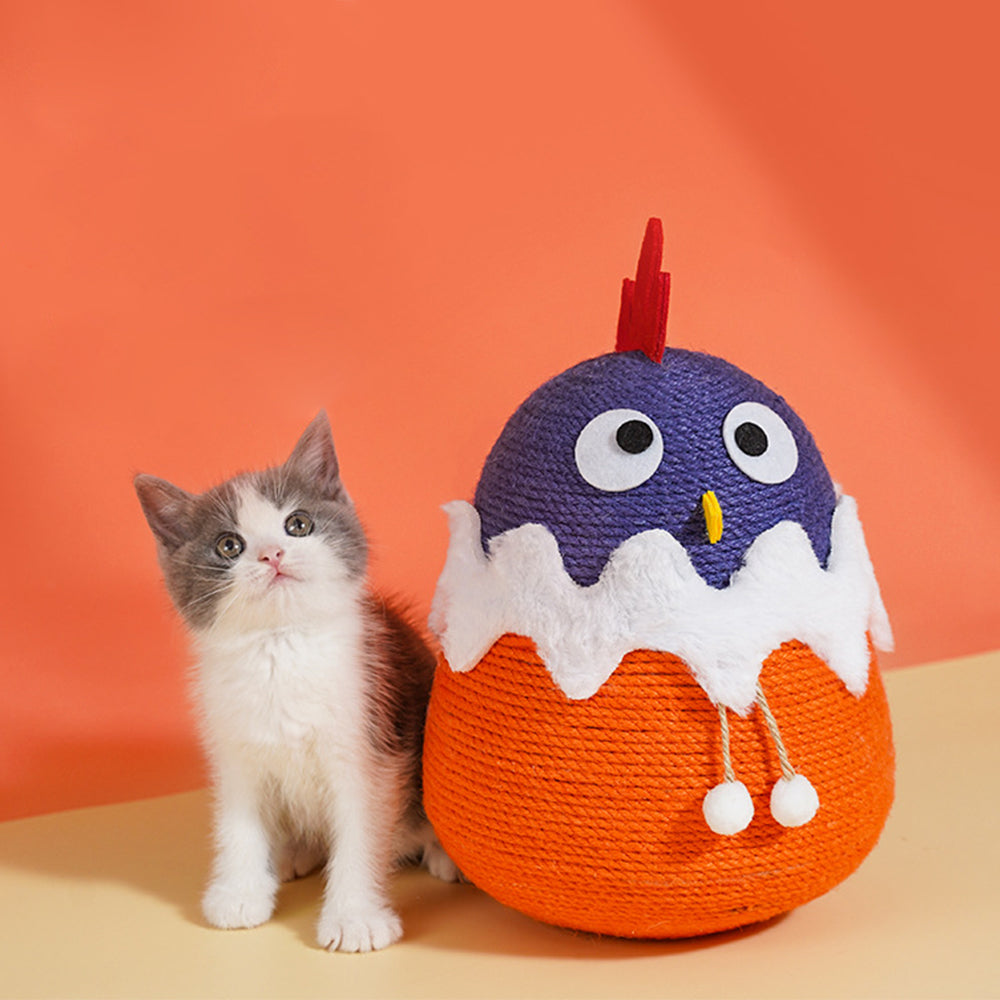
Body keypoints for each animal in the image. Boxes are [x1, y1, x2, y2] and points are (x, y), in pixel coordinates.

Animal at [134, 411, 457, 952]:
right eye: (229, 545)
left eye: (298, 524)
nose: (272, 555)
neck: (280, 646)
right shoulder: (233, 747)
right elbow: (237, 822)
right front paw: (239, 891)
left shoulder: (368, 744)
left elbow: (361, 833)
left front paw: (354, 917)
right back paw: (290, 854)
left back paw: (442, 855)